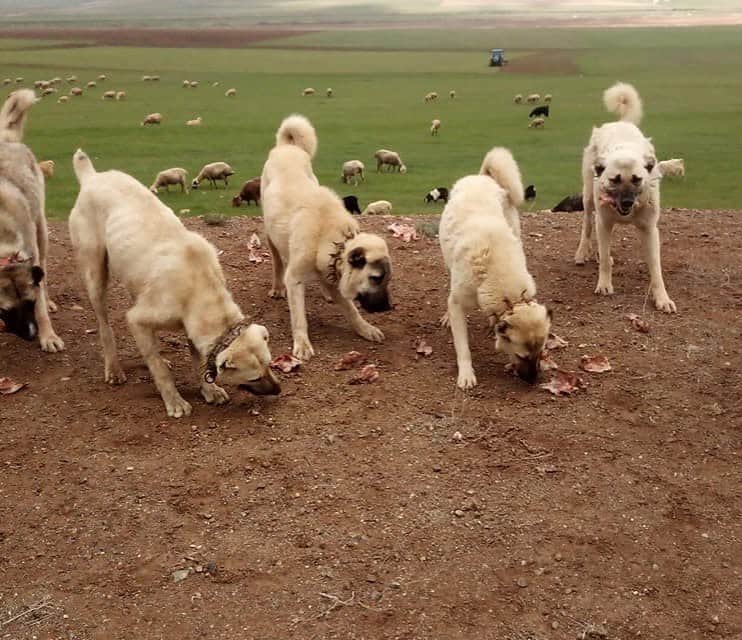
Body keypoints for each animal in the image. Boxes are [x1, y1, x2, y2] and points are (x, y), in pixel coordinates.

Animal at [69, 151, 280, 420]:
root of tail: (92, 177)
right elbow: (160, 369)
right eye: (254, 377)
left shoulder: (189, 328)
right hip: (96, 276)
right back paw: (114, 369)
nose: (279, 390)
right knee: (105, 327)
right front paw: (174, 401)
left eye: (269, 364)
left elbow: (196, 362)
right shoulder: (137, 319)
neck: (199, 284)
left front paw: (209, 390)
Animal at [260, 114, 392, 360]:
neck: (328, 236)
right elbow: (299, 318)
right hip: (270, 234)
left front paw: (365, 328)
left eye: (387, 279)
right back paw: (278, 287)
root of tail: (286, 147)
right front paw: (302, 343)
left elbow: (351, 310)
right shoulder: (295, 280)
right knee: (277, 263)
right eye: (375, 278)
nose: (388, 308)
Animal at [442, 149, 552, 390]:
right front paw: (466, 374)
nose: (533, 381)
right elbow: (462, 347)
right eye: (521, 356)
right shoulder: (458, 304)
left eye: (541, 353)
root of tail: (482, 177)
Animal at [576, 82, 680, 312]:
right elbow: (605, 259)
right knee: (588, 226)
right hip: (588, 200)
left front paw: (662, 298)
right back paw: (582, 252)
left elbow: (656, 268)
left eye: (636, 179)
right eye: (614, 180)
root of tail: (620, 123)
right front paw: (604, 285)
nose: (626, 203)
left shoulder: (649, 229)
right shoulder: (604, 220)